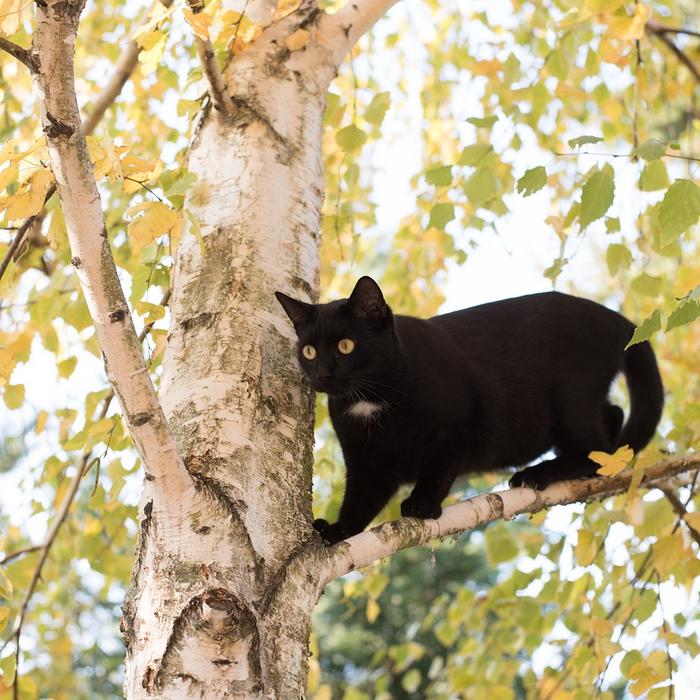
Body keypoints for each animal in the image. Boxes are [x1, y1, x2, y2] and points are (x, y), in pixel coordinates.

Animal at [274, 276, 660, 544]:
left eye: (345, 345)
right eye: (308, 351)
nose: (323, 374)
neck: (371, 401)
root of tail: (615, 318)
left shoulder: (455, 430)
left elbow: (438, 471)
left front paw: (421, 504)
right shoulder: (367, 462)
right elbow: (360, 500)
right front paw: (338, 531)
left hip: (571, 399)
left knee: (597, 450)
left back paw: (538, 473)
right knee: (612, 422)